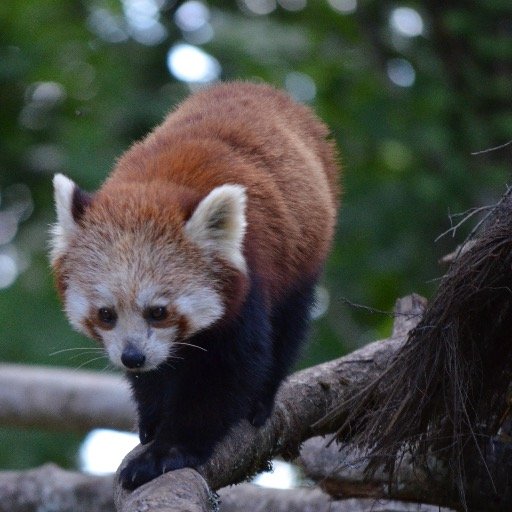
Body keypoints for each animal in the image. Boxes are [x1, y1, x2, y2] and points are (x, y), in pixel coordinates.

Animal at [50, 82, 338, 490]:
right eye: (106, 314)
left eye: (158, 311)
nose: (132, 357)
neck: (156, 189)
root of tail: (258, 88)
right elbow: (157, 375)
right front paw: (152, 421)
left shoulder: (248, 283)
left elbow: (226, 373)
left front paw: (166, 452)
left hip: (303, 254)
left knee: (289, 326)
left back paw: (263, 400)